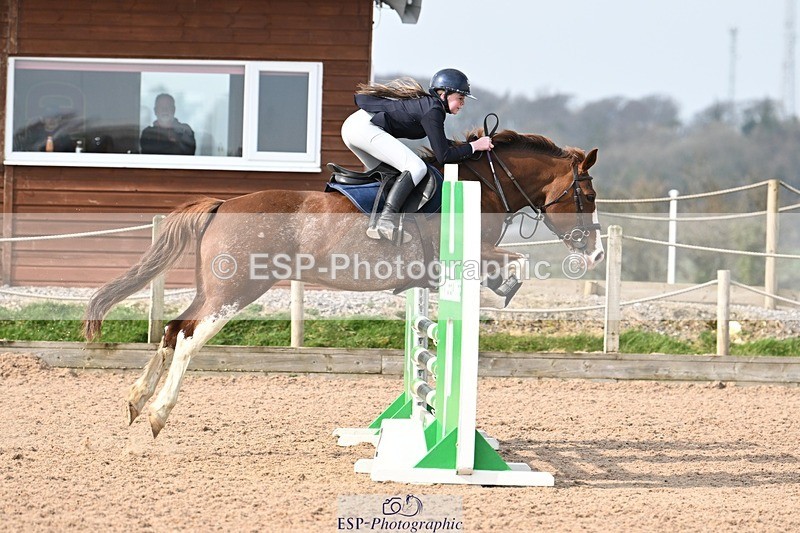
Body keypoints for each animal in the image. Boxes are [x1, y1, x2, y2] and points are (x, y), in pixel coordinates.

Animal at [82, 129, 604, 438]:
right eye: (588, 194)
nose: (596, 253)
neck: (484, 186)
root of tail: (223, 203)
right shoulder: (464, 257)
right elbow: (516, 262)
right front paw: (506, 286)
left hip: (213, 290)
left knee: (173, 329)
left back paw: (136, 401)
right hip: (236, 292)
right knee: (190, 339)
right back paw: (157, 414)